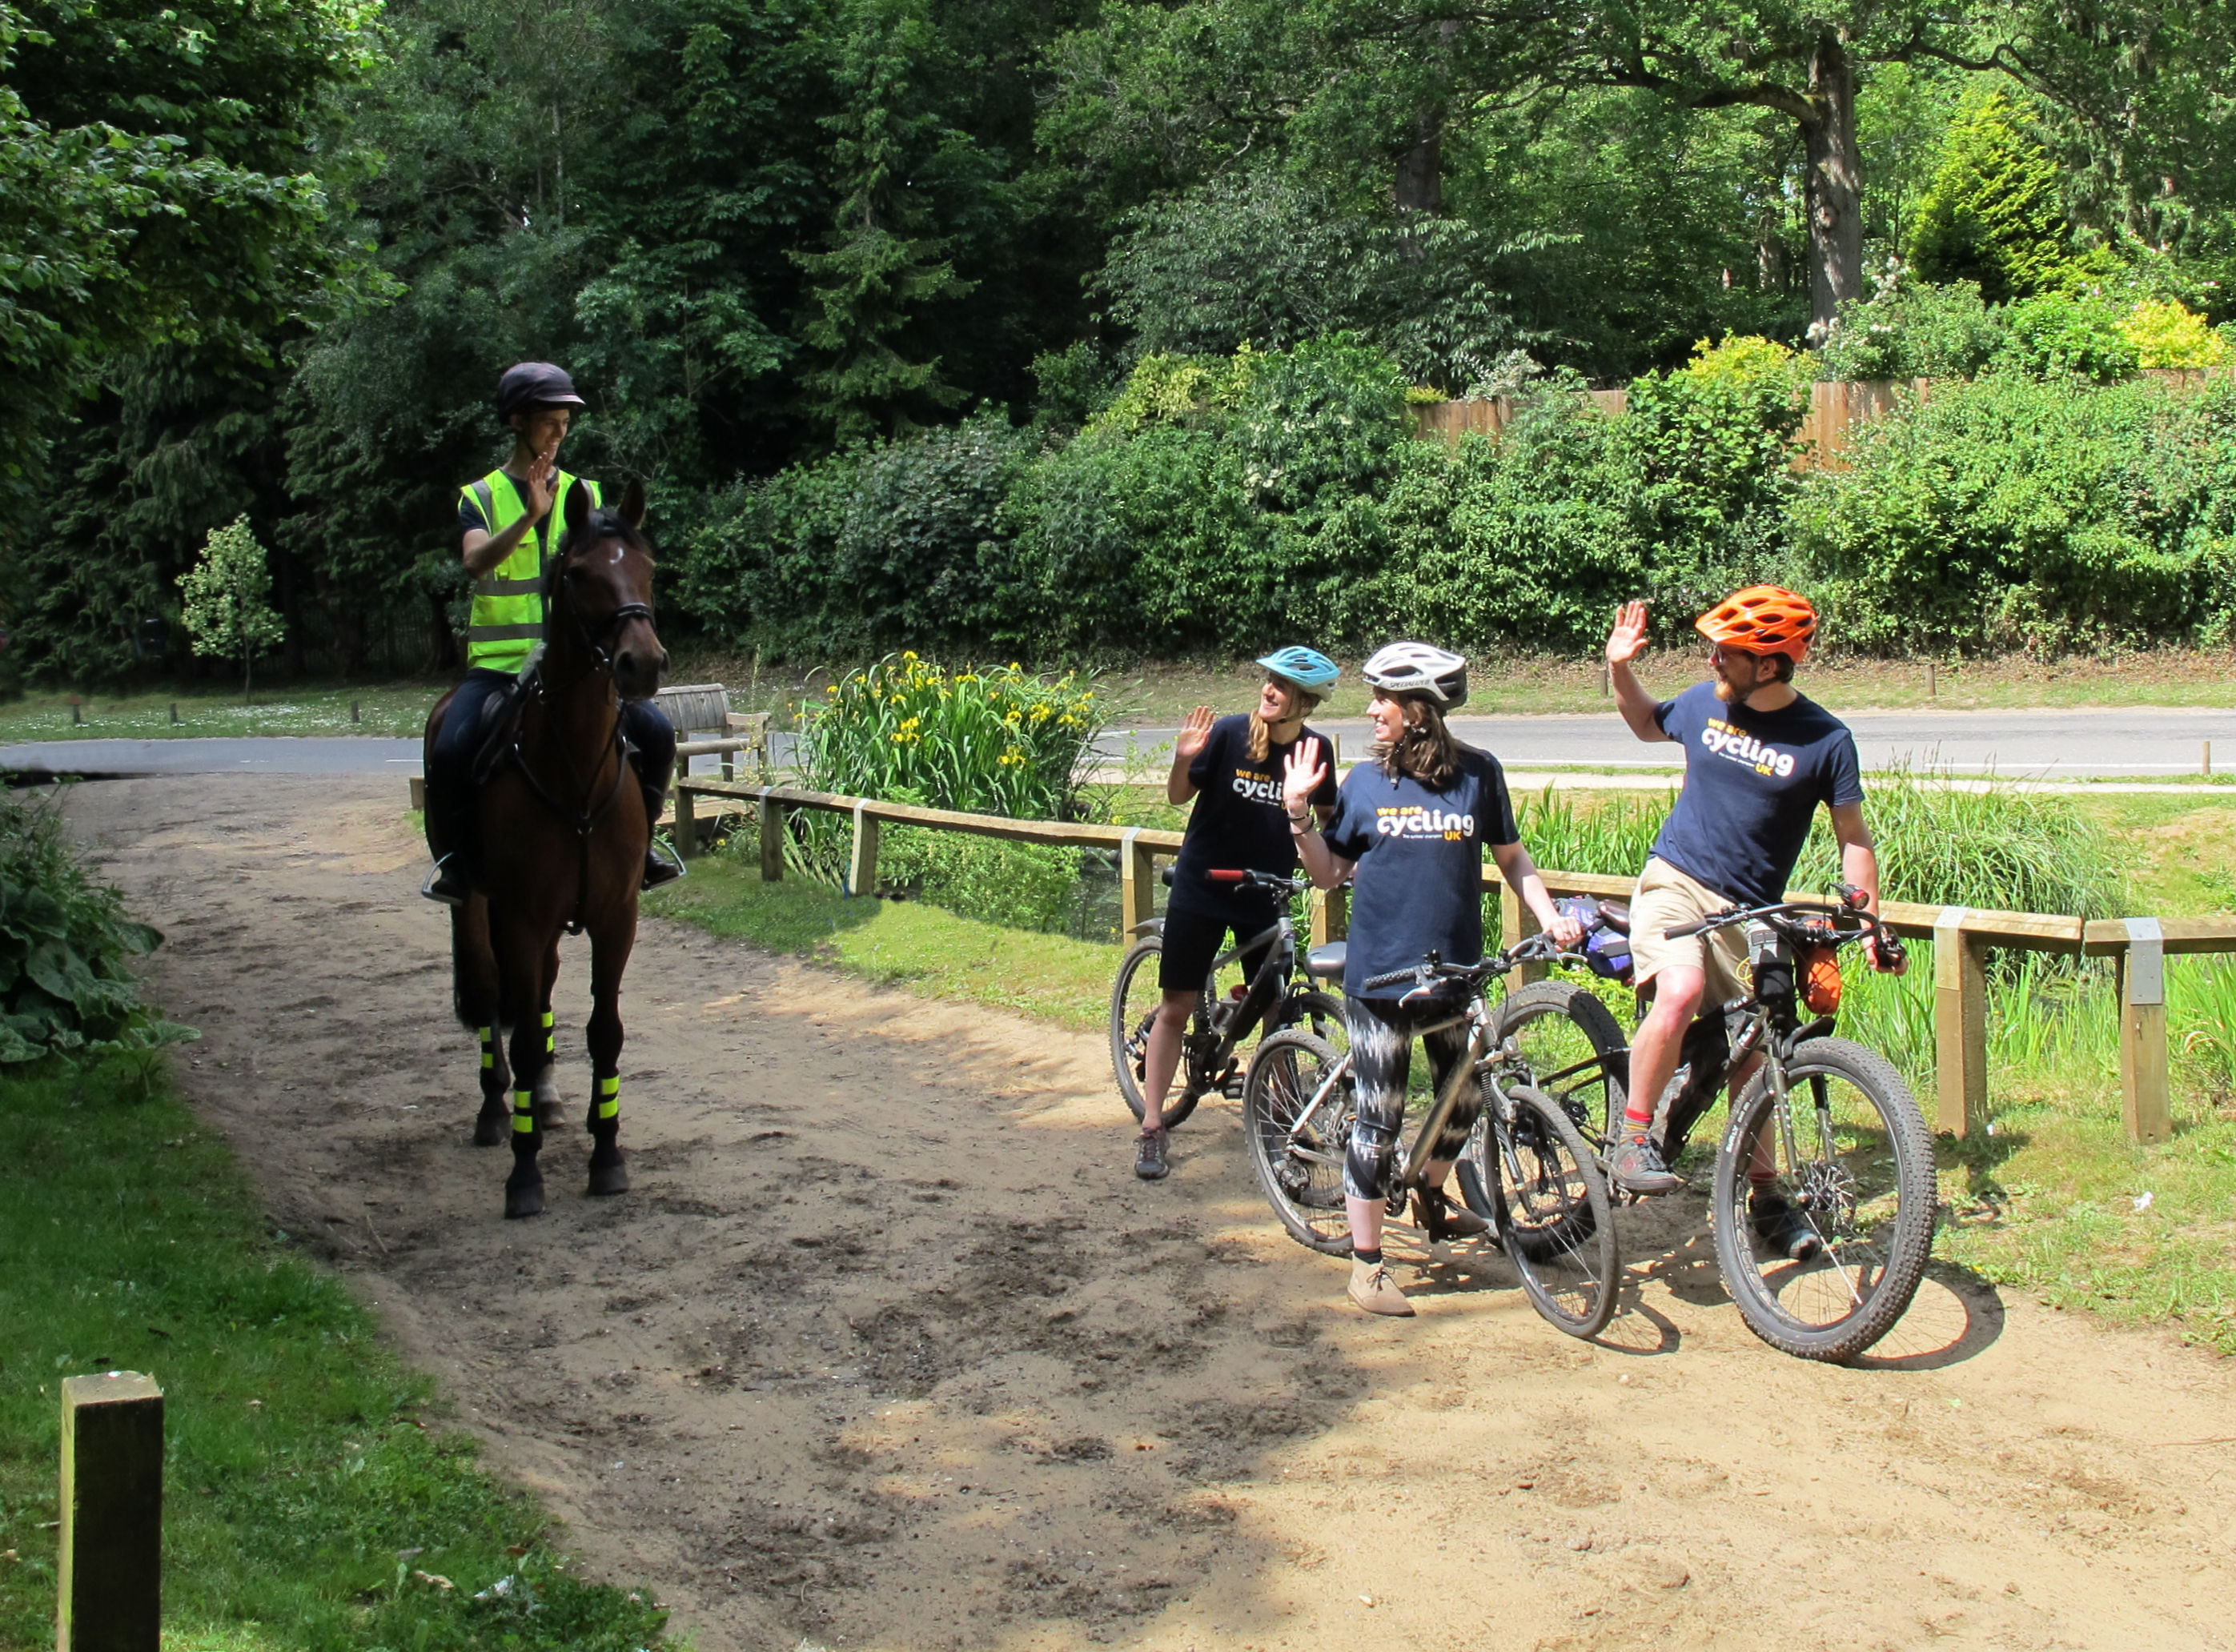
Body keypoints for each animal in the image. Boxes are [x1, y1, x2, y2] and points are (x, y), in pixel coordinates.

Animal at [420, 474, 661, 1216]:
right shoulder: (517, 915)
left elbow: (604, 1031)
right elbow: (521, 1035)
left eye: (648, 567)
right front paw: (524, 1175)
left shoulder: (615, 917)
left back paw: (549, 1102)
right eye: (580, 574)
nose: (642, 664)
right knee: (492, 996)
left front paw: (606, 1153)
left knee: (544, 989)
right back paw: (498, 1112)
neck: (574, 768)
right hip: (476, 903)